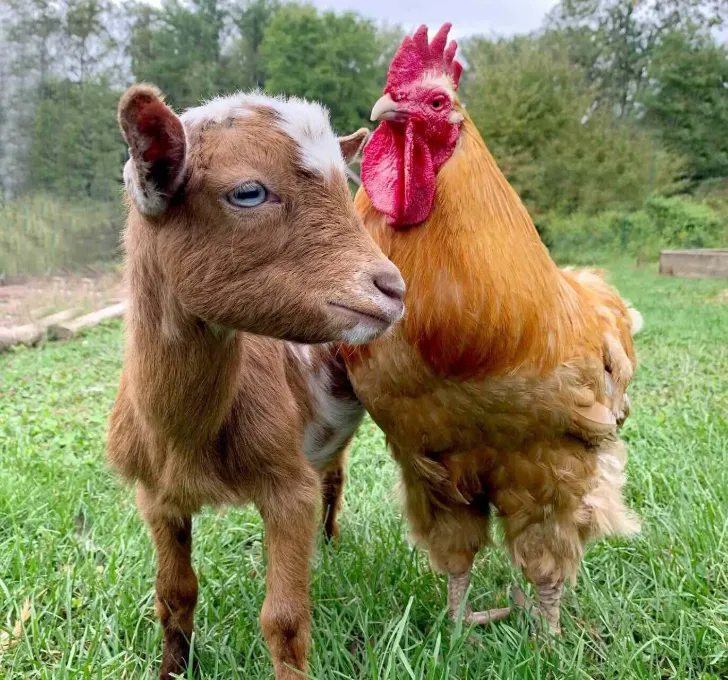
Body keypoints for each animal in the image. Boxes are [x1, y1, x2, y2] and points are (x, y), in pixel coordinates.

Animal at [107, 84, 405, 680]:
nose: (392, 288)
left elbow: (284, 620)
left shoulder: (287, 485)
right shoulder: (156, 495)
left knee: (333, 480)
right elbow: (174, 594)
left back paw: (330, 543)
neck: (186, 438)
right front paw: (173, 669)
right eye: (248, 192)